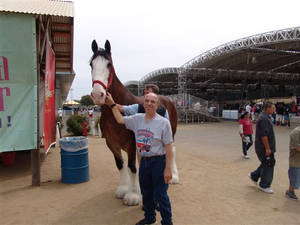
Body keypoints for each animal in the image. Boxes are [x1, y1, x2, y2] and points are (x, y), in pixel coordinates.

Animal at [89, 40, 178, 206]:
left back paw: (174, 177)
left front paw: (133, 195)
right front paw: (124, 189)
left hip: (172, 133)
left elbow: (131, 166)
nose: (98, 94)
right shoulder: (112, 143)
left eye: (109, 64)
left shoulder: (130, 143)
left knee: (171, 151)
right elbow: (121, 165)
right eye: (91, 64)